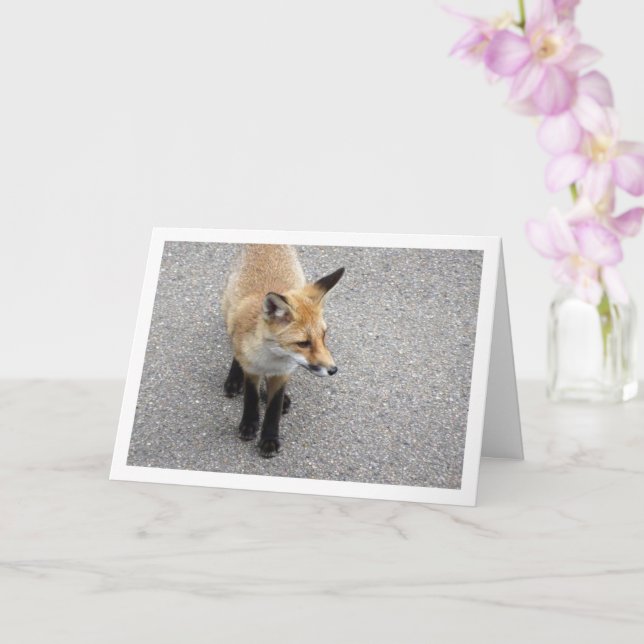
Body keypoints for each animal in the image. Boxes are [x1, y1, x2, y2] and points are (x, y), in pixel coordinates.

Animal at [222, 244, 345, 457]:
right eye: (303, 343)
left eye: (324, 336)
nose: (333, 370)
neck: (272, 358)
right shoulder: (252, 369)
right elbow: (251, 397)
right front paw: (249, 423)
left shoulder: (282, 372)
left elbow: (274, 407)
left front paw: (269, 438)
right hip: (228, 312)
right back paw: (234, 379)